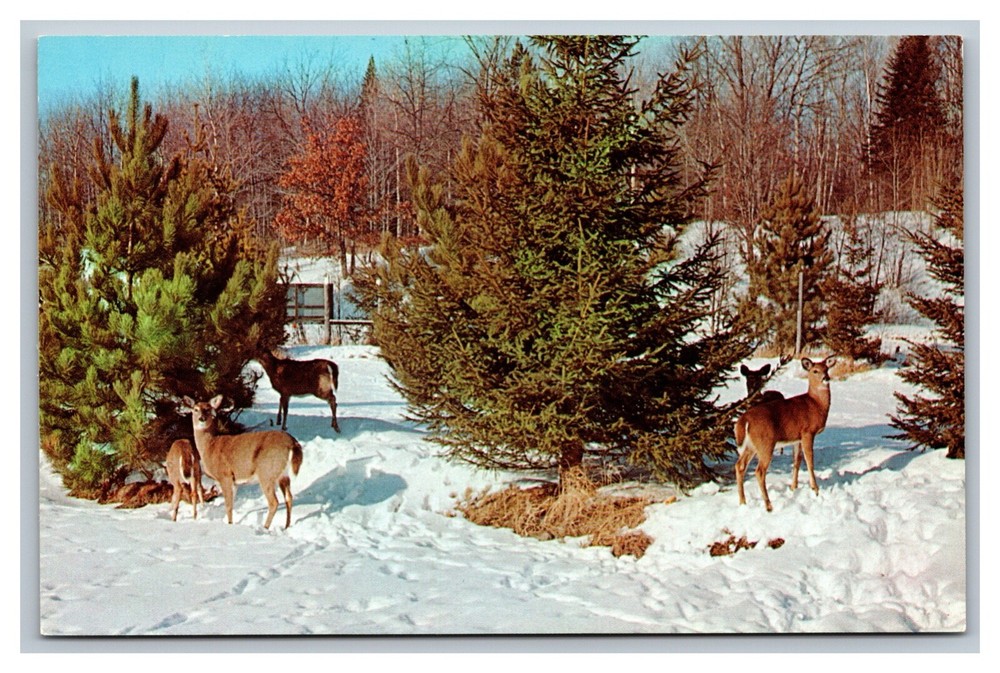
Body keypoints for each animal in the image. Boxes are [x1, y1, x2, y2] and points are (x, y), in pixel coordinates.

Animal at [182, 395, 304, 530]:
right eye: (195, 409)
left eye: (208, 409)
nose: (202, 418)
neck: (210, 446)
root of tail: (293, 443)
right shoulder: (234, 482)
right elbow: (232, 504)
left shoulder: (225, 475)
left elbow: (228, 505)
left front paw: (229, 525)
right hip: (283, 475)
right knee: (289, 497)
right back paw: (286, 526)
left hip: (266, 472)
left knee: (274, 502)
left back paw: (265, 527)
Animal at [734, 356, 837, 512]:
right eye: (815, 370)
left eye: (827, 369)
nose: (826, 378)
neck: (816, 404)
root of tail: (744, 420)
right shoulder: (807, 432)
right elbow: (809, 461)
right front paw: (815, 489)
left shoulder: (797, 438)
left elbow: (796, 461)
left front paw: (794, 487)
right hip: (765, 443)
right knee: (759, 471)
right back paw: (768, 505)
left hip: (751, 445)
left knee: (739, 466)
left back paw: (742, 502)